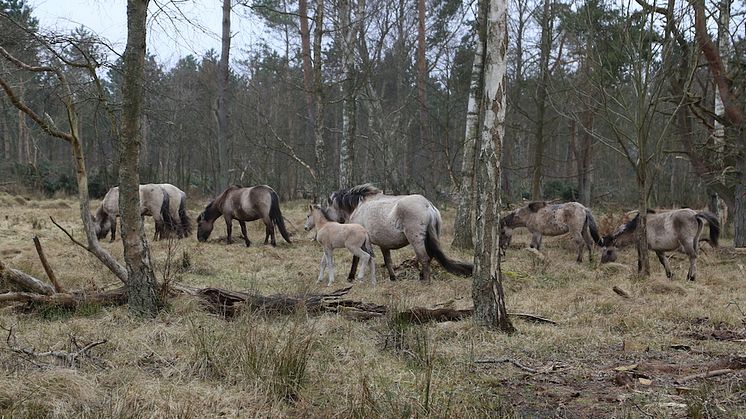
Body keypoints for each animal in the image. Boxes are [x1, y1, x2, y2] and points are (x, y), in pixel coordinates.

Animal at [322, 184, 468, 282]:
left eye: (328, 207)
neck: (359, 206)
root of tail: (428, 206)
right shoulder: (383, 244)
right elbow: (388, 260)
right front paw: (393, 277)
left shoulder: (358, 242)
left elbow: (356, 259)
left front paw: (350, 277)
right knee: (430, 256)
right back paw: (422, 276)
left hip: (416, 240)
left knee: (425, 258)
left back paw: (425, 280)